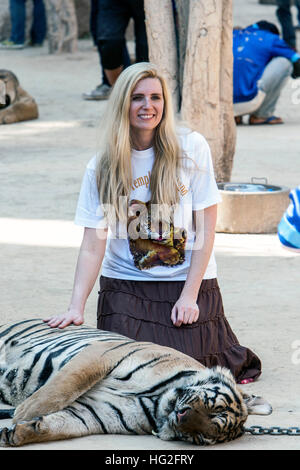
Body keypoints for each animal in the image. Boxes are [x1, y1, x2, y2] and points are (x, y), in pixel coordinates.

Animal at [0, 320, 272, 448]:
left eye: (202, 437)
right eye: (215, 407)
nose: (181, 418)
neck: (155, 401)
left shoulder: (93, 414)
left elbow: (60, 425)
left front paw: (19, 433)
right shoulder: (102, 354)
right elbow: (64, 386)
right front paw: (23, 413)